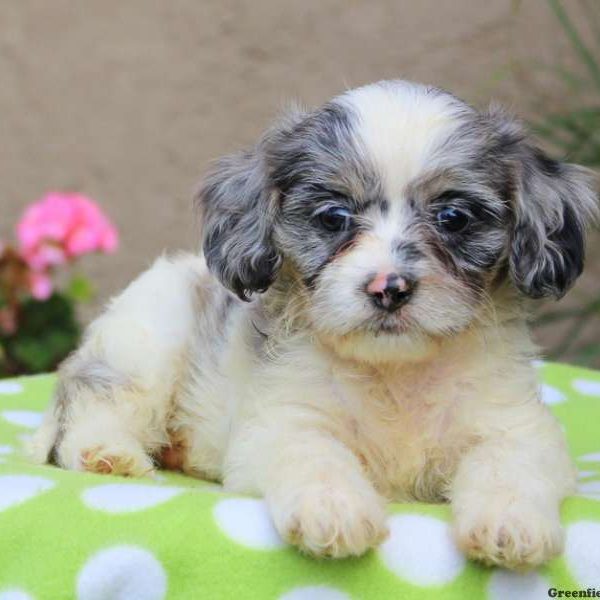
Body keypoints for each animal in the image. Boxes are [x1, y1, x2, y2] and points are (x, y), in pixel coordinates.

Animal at [31, 79, 596, 568]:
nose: (389, 287)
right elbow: (314, 454)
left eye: (453, 218)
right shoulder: (282, 422)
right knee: (96, 404)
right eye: (333, 217)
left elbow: (508, 464)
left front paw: (510, 523)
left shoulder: (517, 425)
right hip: (145, 343)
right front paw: (335, 510)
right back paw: (108, 453)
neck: (396, 376)